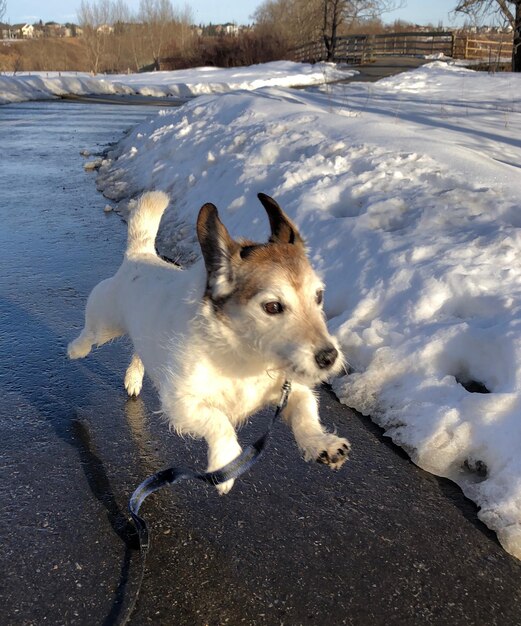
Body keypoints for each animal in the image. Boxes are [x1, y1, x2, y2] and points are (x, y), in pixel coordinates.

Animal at [67, 193, 348, 490]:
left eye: (318, 296)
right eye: (272, 306)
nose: (329, 357)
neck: (243, 356)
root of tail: (140, 255)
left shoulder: (288, 390)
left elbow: (306, 409)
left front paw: (321, 443)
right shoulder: (181, 404)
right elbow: (218, 420)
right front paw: (226, 461)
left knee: (140, 351)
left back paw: (133, 377)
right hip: (104, 321)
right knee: (90, 333)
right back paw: (76, 349)